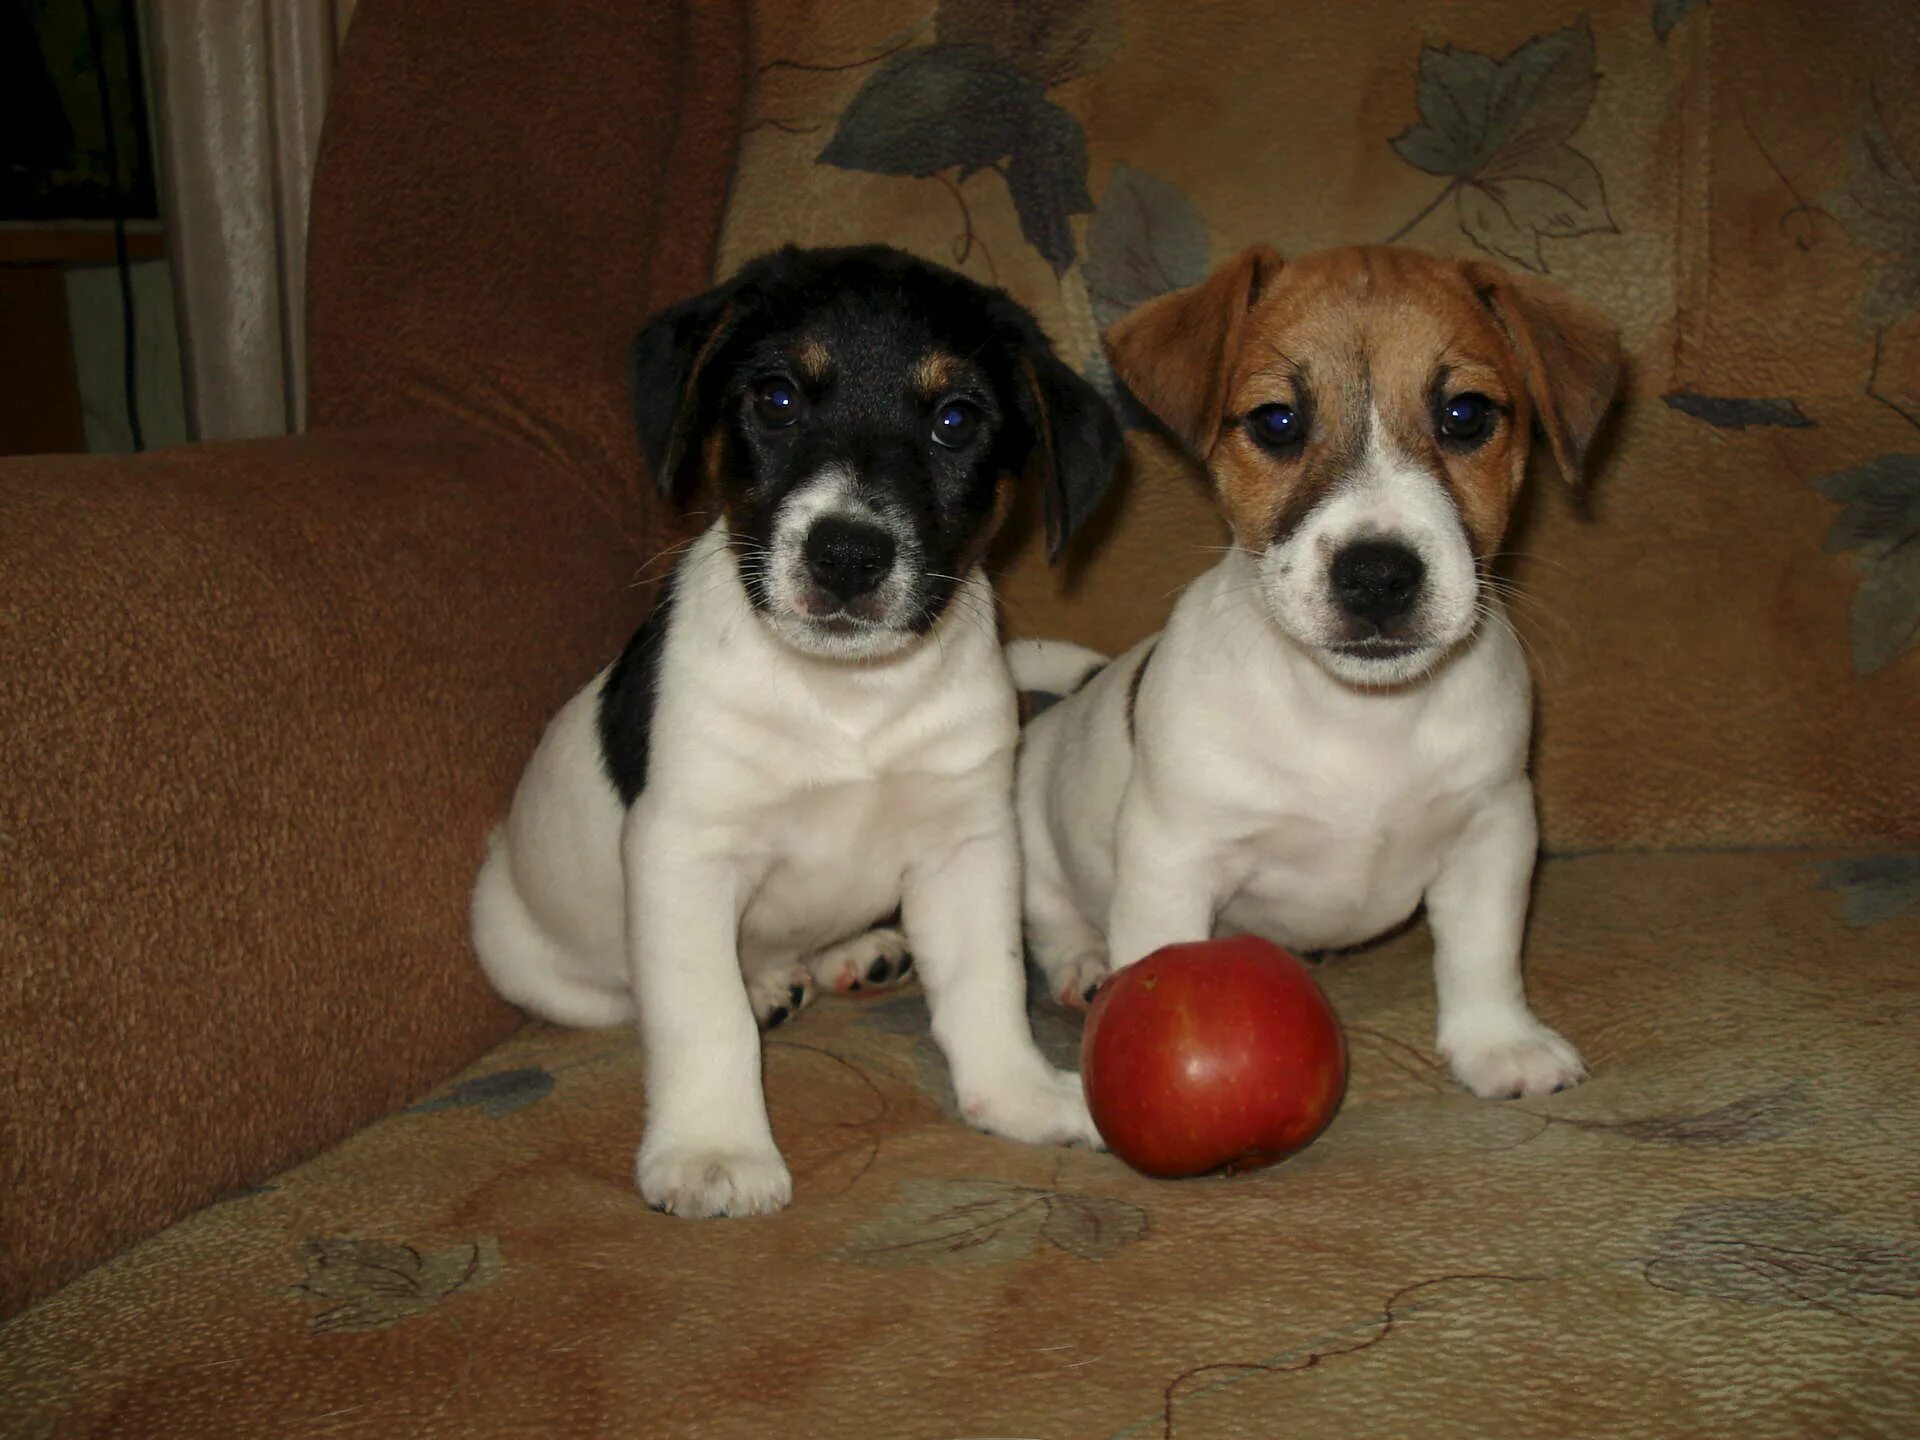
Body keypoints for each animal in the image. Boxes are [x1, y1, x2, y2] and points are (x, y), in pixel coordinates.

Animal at [470, 245, 1121, 1221]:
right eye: (775, 398)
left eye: (956, 420)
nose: (847, 554)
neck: (846, 696)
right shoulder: (685, 854)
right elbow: (704, 1019)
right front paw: (713, 1150)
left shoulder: (965, 847)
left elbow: (988, 985)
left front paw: (1018, 1096)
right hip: (523, 949)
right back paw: (768, 984)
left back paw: (846, 954)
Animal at [1006, 247, 1620, 1105]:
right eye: (1277, 422)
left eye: (1466, 415)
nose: (1378, 576)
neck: (1361, 715)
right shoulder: (1173, 858)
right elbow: (1155, 955)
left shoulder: (1494, 832)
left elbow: (1483, 953)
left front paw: (1499, 1043)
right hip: (1029, 835)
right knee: (1051, 916)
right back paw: (1082, 961)